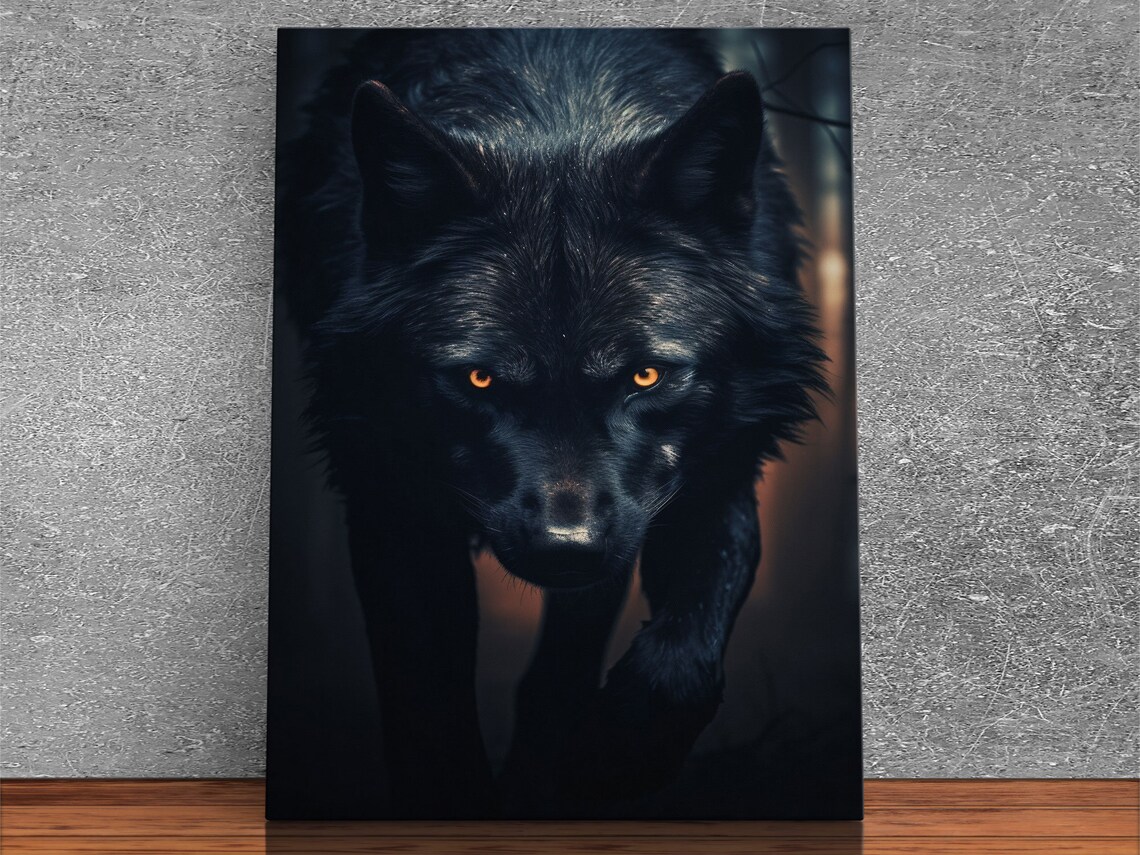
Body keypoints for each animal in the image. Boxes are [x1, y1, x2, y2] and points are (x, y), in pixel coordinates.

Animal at [275, 28, 827, 817]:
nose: (565, 548)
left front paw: (619, 752)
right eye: (477, 378)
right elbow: (427, 703)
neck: (558, 114)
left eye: (646, 375)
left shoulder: (715, 472)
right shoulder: (391, 502)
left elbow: (691, 640)